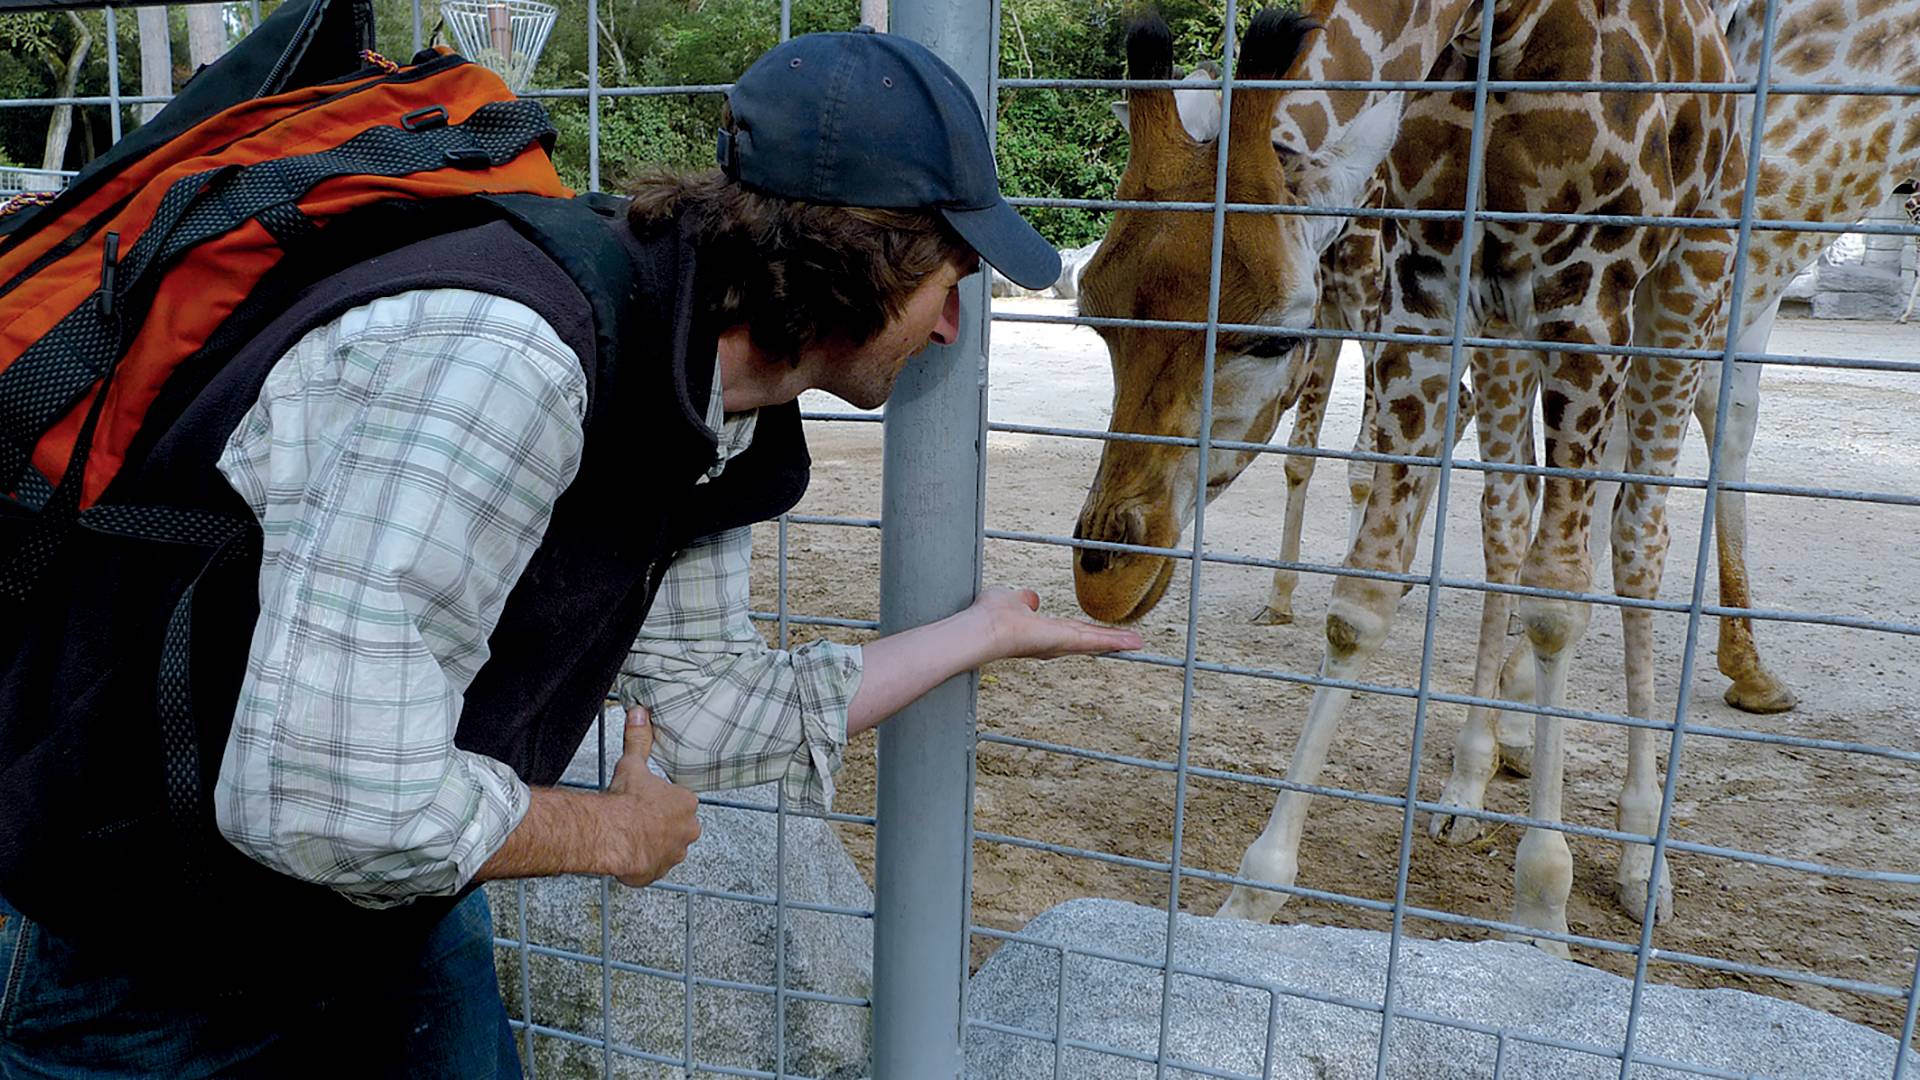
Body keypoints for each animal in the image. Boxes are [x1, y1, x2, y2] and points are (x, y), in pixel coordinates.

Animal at [1075, 2, 1751, 949]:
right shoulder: (1429, 284)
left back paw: (1640, 858)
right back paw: (1469, 780)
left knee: (1638, 542)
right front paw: (1255, 889)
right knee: (1508, 514)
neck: (1496, 28)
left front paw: (1542, 904)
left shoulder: (1588, 297)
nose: (1105, 579)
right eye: (1091, 311)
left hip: (1690, 284)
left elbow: (1558, 600)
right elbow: (1364, 597)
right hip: (1505, 331)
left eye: (1271, 336)